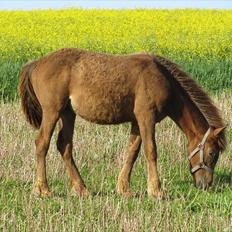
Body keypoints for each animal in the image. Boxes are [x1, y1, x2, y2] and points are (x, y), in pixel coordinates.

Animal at [18, 47, 227, 199]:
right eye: (212, 153)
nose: (206, 184)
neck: (160, 78)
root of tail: (36, 64)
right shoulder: (146, 117)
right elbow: (151, 150)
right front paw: (156, 191)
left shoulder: (137, 121)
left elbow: (132, 152)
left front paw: (124, 188)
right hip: (52, 112)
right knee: (42, 143)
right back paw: (42, 190)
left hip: (68, 114)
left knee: (64, 146)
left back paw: (81, 189)